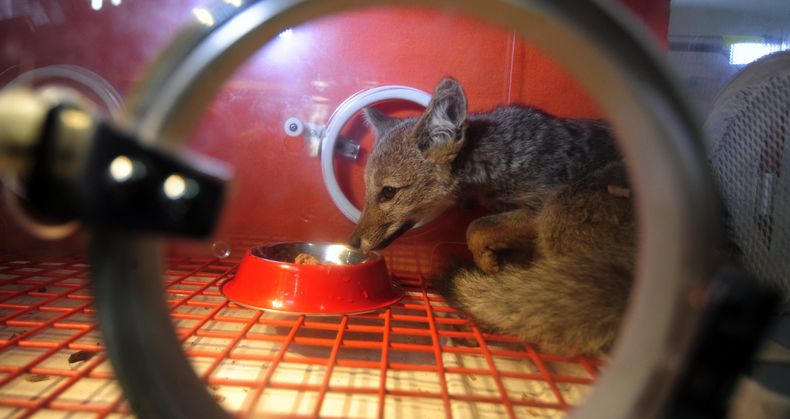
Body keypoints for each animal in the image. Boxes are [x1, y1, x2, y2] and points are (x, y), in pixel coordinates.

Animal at [348, 77, 635, 355]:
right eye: (367, 190)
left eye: (388, 192)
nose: (352, 242)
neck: (502, 156)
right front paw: (497, 274)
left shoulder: (538, 208)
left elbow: (475, 228)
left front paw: (488, 265)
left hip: (556, 213)